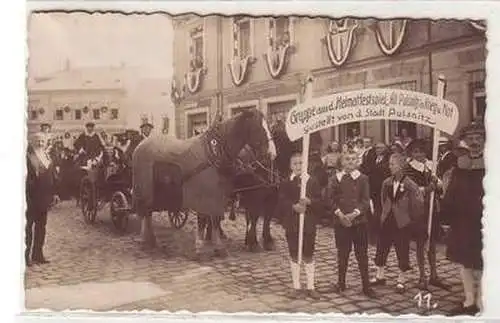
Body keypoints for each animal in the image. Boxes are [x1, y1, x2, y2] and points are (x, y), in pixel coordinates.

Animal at [131, 109, 278, 258]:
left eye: (270, 127)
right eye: (258, 128)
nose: (272, 154)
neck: (214, 152)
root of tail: (140, 146)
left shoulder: (219, 195)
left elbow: (215, 218)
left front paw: (217, 246)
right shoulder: (204, 194)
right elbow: (205, 218)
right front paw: (202, 247)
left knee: (148, 213)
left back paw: (150, 240)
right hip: (145, 190)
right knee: (145, 213)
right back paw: (145, 240)